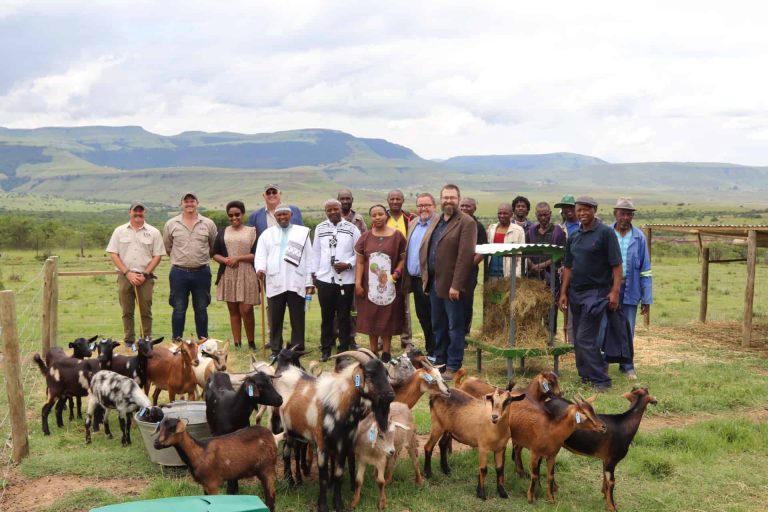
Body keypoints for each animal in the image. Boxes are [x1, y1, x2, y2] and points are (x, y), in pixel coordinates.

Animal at [274, 348, 392, 512]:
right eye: (369, 374)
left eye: (386, 372)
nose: (391, 395)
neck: (338, 406)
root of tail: (284, 367)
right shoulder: (322, 445)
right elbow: (323, 478)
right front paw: (323, 506)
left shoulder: (343, 445)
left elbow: (338, 475)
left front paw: (338, 504)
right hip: (287, 428)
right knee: (286, 453)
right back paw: (290, 483)